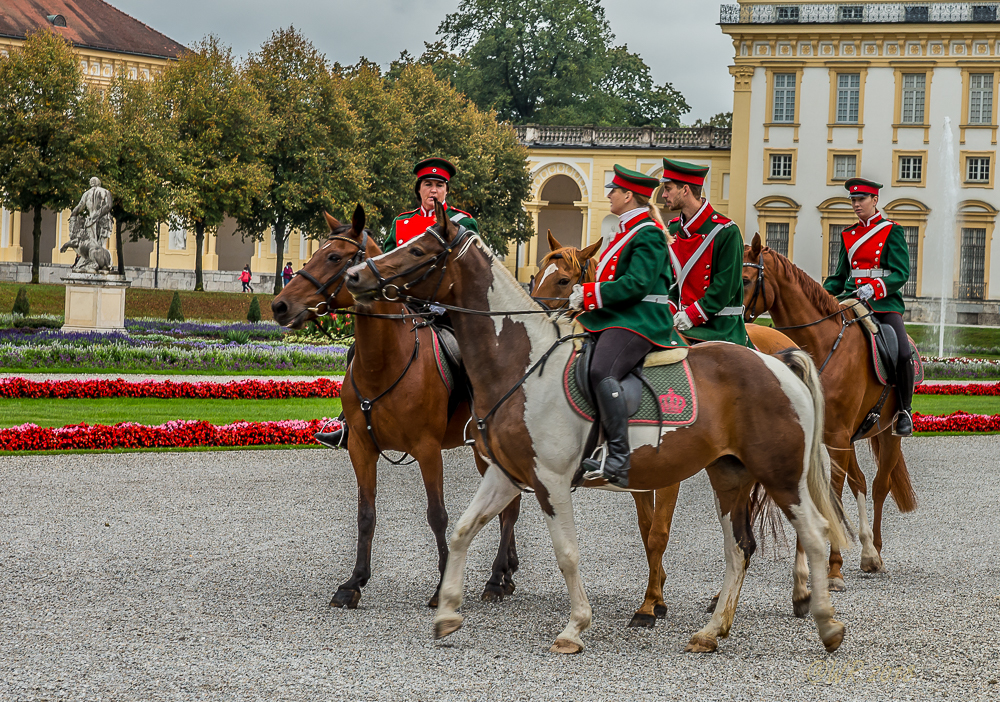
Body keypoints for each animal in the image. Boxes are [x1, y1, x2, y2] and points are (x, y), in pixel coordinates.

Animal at [272, 208, 524, 612]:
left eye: (335, 257)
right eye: (312, 253)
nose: (280, 306)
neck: (384, 363)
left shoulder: (427, 449)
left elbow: (437, 515)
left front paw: (441, 588)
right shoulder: (360, 447)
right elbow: (365, 514)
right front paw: (353, 583)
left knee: (509, 507)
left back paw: (497, 576)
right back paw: (508, 570)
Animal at [348, 201, 848, 656]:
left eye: (419, 250)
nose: (355, 275)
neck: (523, 364)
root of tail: (777, 360)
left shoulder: (551, 481)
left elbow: (569, 553)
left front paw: (576, 627)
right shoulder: (507, 474)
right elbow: (462, 530)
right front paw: (448, 612)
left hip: (781, 475)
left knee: (815, 534)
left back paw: (825, 621)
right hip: (729, 475)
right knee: (739, 548)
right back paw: (711, 631)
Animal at [744, 236, 916, 588]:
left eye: (744, 279)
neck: (821, 346)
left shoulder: (837, 437)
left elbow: (834, 496)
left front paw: (834, 568)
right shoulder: (823, 437)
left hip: (887, 435)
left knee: (879, 486)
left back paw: (876, 553)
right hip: (850, 440)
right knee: (860, 482)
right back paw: (867, 551)